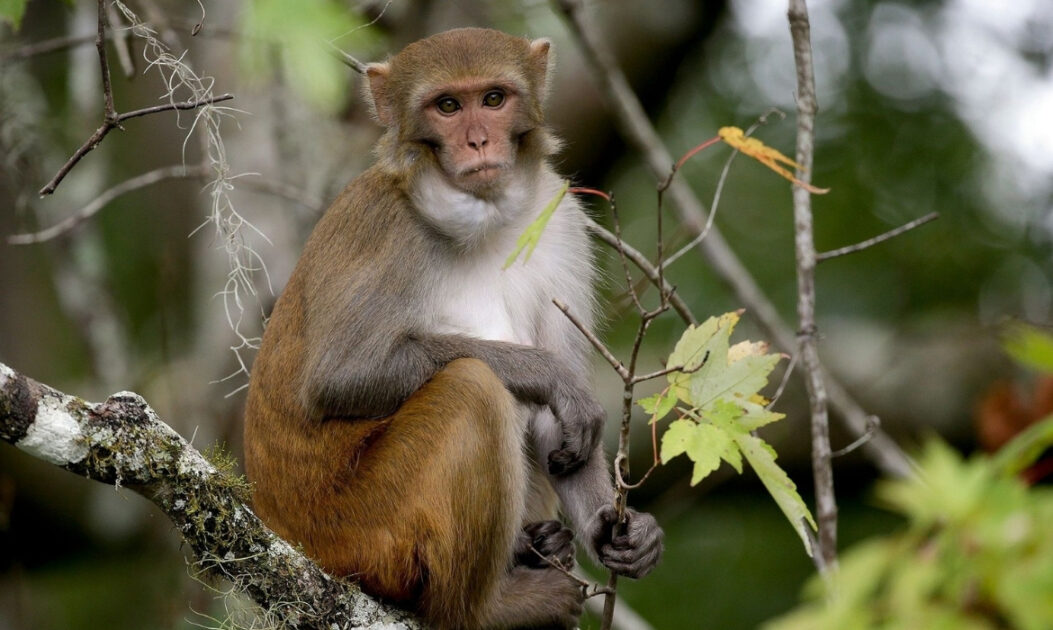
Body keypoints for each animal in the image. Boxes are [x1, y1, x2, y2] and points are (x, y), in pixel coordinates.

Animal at [243, 28, 663, 629]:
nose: (477, 141)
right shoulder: (385, 226)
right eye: (447, 106)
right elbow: (340, 378)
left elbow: (559, 432)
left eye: (493, 99)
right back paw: (491, 608)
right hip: (363, 529)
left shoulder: (560, 223)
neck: (484, 219)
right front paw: (549, 374)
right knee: (473, 388)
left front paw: (620, 533)